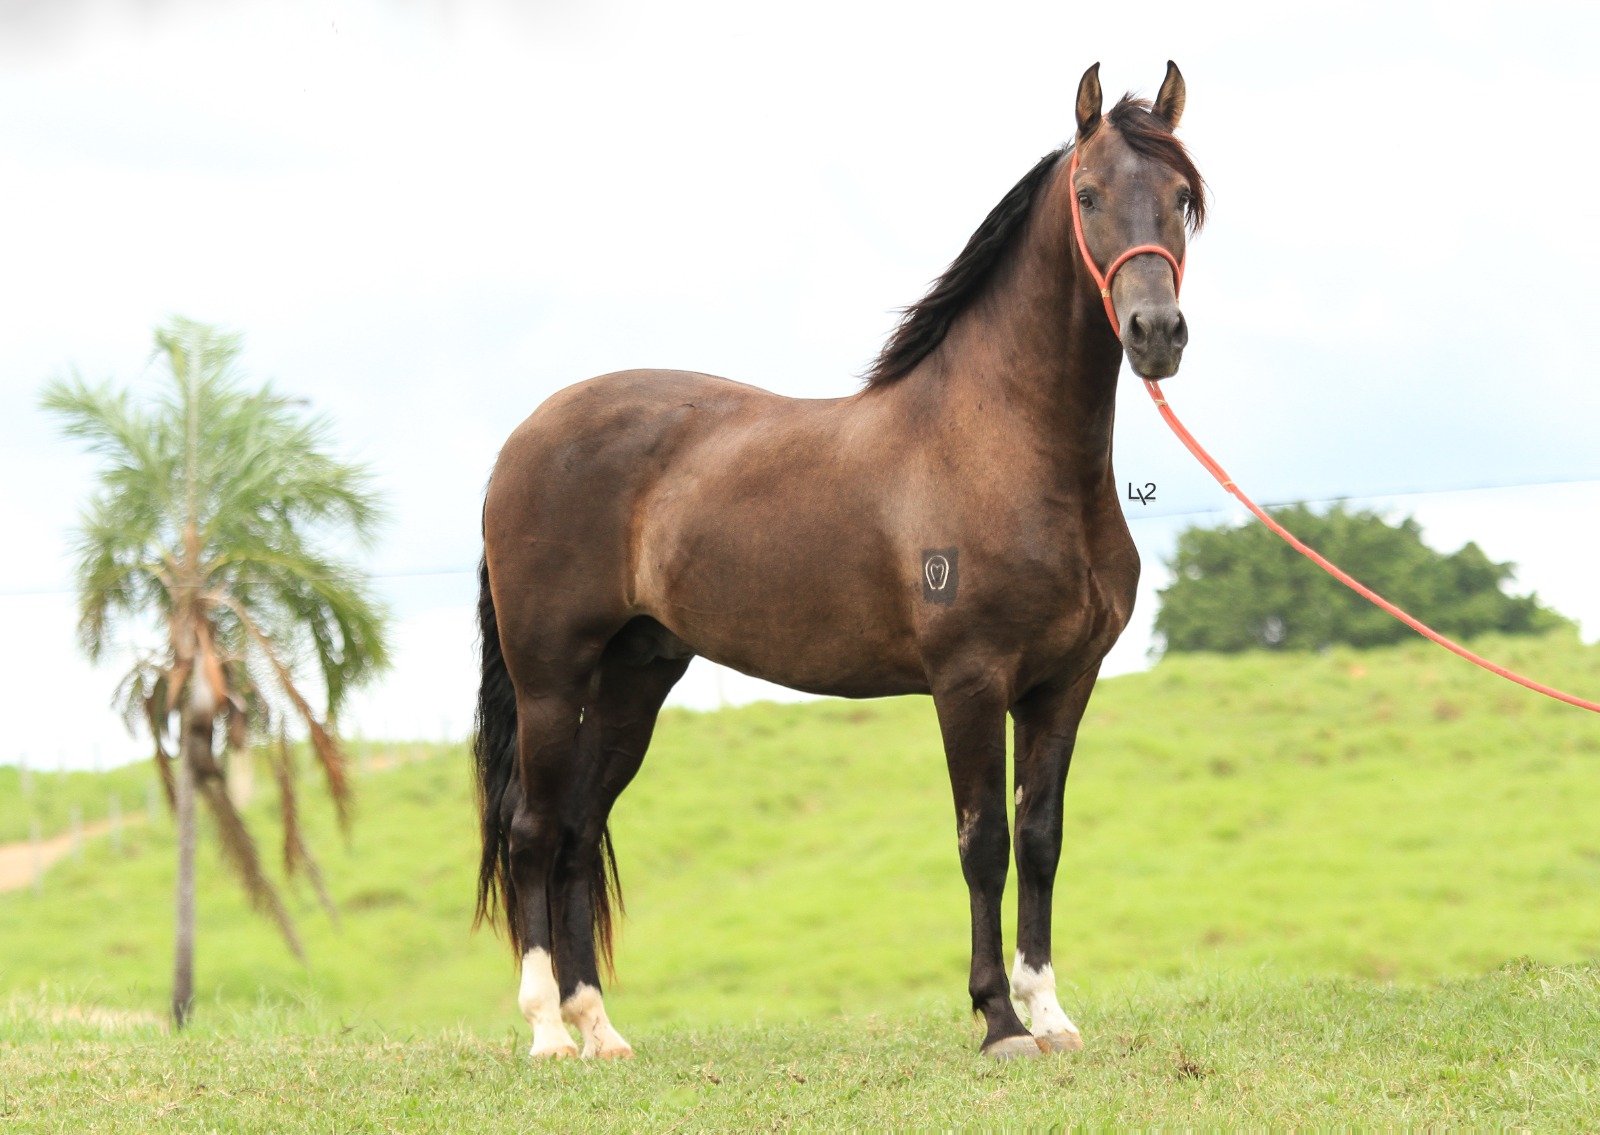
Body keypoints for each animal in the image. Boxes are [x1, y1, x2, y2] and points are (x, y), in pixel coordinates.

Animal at [473, 61, 1205, 1060]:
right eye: (1088, 193)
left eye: (1181, 197)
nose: (1155, 333)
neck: (1004, 446)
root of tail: (521, 440)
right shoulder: (968, 681)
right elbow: (983, 841)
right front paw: (999, 1019)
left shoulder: (1064, 683)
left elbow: (1041, 838)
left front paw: (1050, 1013)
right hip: (551, 679)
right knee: (534, 829)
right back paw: (549, 1030)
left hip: (637, 677)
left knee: (582, 830)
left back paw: (600, 1028)